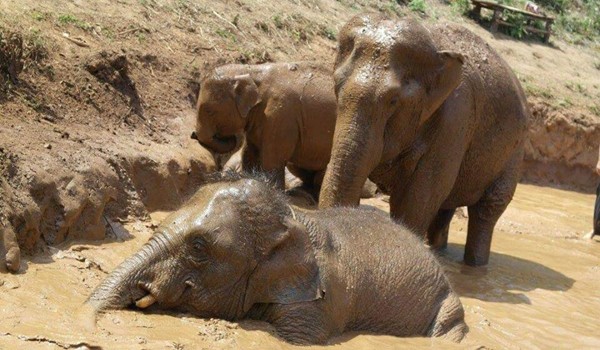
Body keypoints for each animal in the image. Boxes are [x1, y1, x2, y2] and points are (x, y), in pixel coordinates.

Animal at [192, 61, 338, 190]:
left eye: (209, 111)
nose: (193, 134)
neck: (252, 71)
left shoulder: (280, 115)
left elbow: (272, 160)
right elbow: (249, 153)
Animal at [318, 13, 528, 266]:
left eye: (393, 100)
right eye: (336, 86)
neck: (433, 46)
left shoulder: (457, 118)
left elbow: (420, 195)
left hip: (514, 152)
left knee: (486, 211)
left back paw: (475, 265)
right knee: (445, 209)